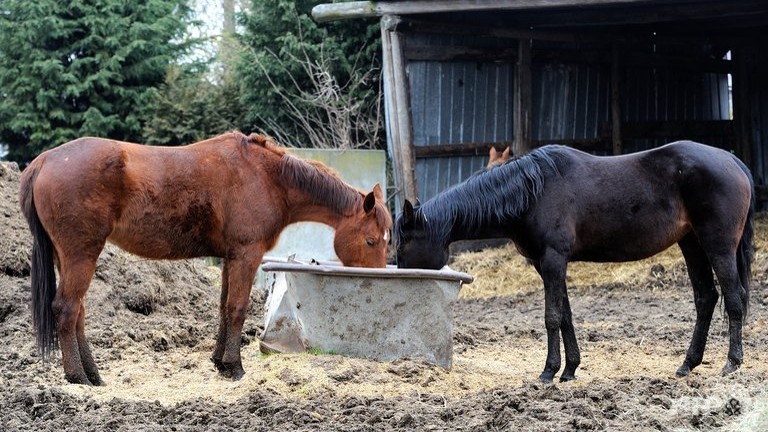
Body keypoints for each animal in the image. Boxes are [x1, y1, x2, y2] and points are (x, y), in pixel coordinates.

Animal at [19, 132, 390, 384]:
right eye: (371, 240)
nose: (377, 279)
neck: (267, 177)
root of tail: (44, 160)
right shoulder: (246, 255)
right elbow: (238, 309)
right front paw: (235, 367)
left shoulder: (230, 257)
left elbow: (224, 307)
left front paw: (219, 362)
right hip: (81, 255)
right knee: (66, 309)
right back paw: (78, 377)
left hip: (68, 257)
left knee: (77, 313)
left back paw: (93, 374)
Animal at [392, 140, 752, 384]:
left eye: (404, 240)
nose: (399, 271)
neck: (532, 192)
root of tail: (733, 160)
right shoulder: (546, 264)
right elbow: (565, 314)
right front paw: (570, 370)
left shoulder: (553, 259)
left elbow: (552, 316)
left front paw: (548, 372)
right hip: (691, 244)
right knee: (706, 298)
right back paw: (688, 364)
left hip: (717, 245)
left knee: (734, 299)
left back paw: (732, 363)